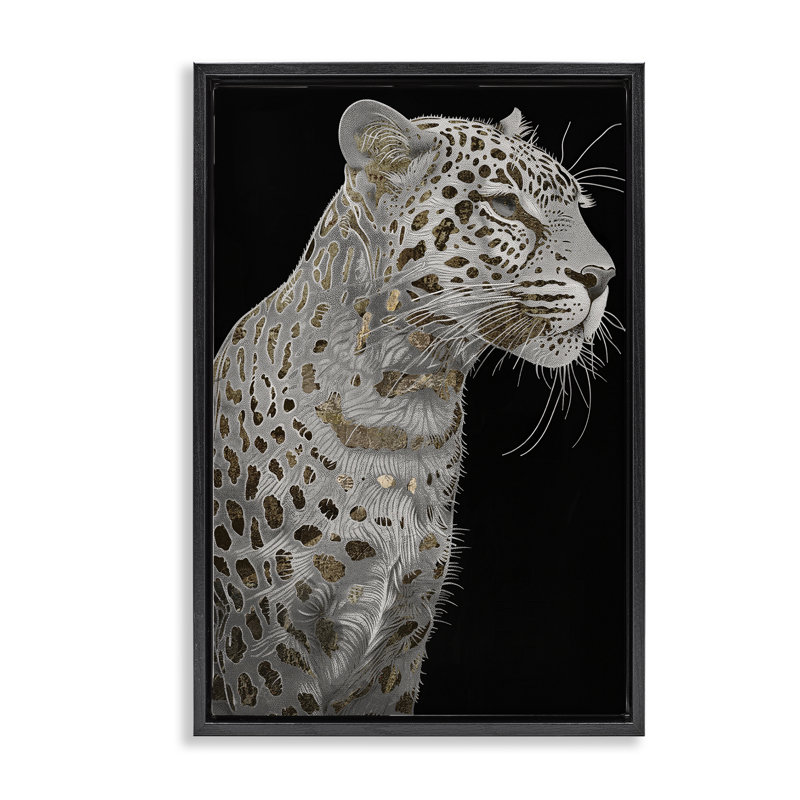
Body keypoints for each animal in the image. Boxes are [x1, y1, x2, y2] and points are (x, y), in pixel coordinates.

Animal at [210, 99, 617, 716]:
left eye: (577, 206)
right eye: (505, 206)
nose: (604, 277)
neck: (406, 409)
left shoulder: (402, 640)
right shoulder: (263, 638)